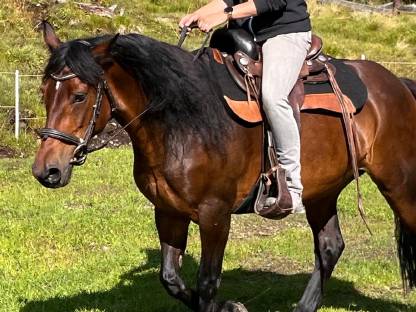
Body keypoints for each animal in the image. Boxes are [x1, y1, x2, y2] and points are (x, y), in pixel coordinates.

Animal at [31, 20, 416, 310]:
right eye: (44, 93)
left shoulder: (215, 215)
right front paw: (231, 306)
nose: (46, 170)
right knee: (330, 246)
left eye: (79, 96)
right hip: (322, 191)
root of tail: (398, 84)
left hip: (398, 183)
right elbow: (170, 278)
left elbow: (207, 282)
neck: (182, 121)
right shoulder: (168, 211)